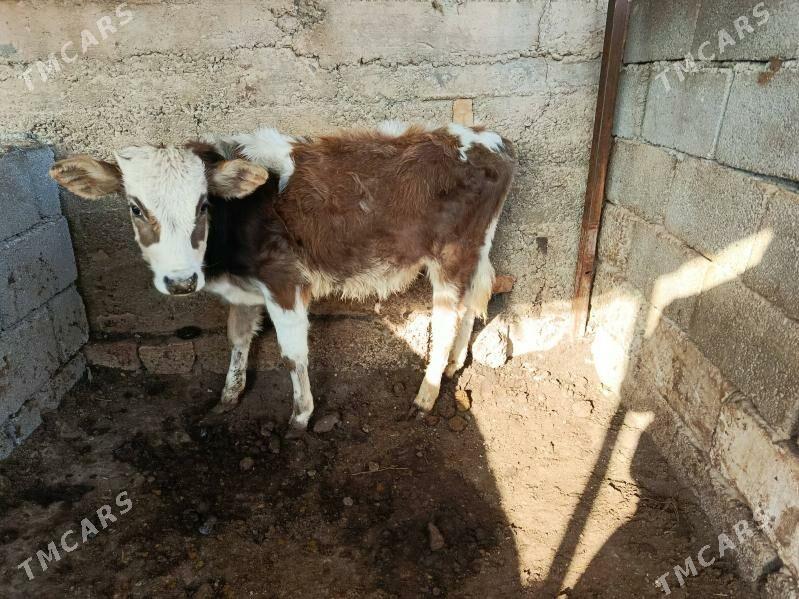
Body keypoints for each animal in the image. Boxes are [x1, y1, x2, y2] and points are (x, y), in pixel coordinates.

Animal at [49, 122, 516, 435]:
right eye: (135, 207)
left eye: (203, 204)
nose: (181, 281)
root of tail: (488, 138)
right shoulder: (244, 292)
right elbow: (237, 339)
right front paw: (228, 397)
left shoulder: (283, 281)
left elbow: (292, 355)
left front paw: (300, 417)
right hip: (475, 249)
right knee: (472, 305)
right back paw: (453, 365)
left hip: (451, 254)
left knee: (447, 319)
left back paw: (426, 395)